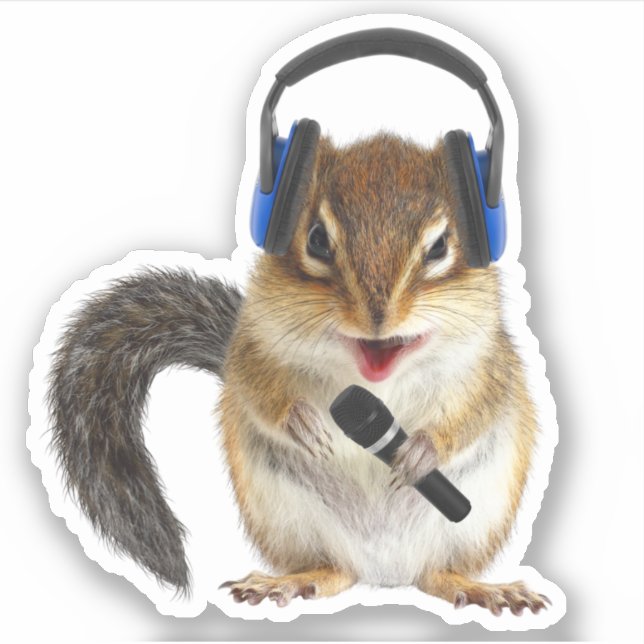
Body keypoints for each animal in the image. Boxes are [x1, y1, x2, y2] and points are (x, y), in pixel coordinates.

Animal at [47, 132, 550, 616]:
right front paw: (301, 422)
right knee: (333, 571)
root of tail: (386, 573)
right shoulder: (251, 348)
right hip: (291, 519)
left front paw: (420, 451)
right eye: (317, 240)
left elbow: (472, 415)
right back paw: (288, 581)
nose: (378, 317)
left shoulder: (486, 366)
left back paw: (482, 588)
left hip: (472, 524)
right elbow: (258, 390)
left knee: (438, 574)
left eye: (441, 246)